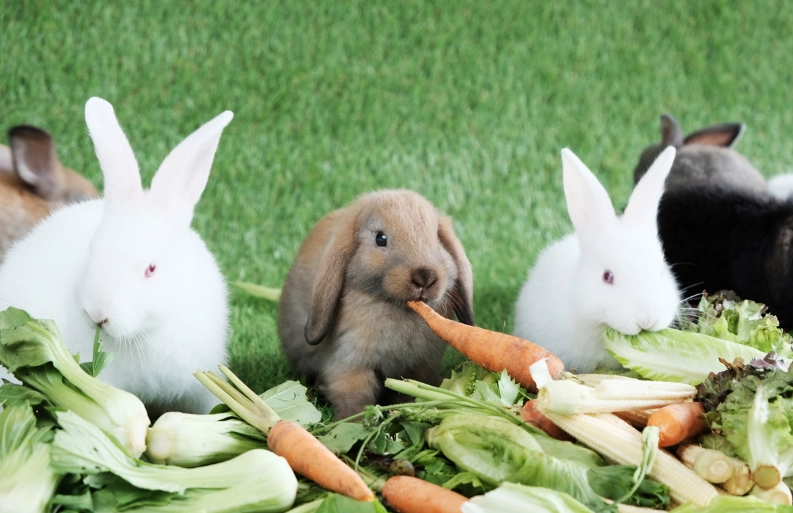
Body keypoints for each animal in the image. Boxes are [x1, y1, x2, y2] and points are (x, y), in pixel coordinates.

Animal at [277, 189, 475, 420]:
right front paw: (354, 423)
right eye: (381, 238)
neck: (398, 308)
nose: (424, 277)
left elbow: (411, 392)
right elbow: (355, 398)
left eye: (437, 237)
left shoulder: (420, 366)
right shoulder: (349, 363)